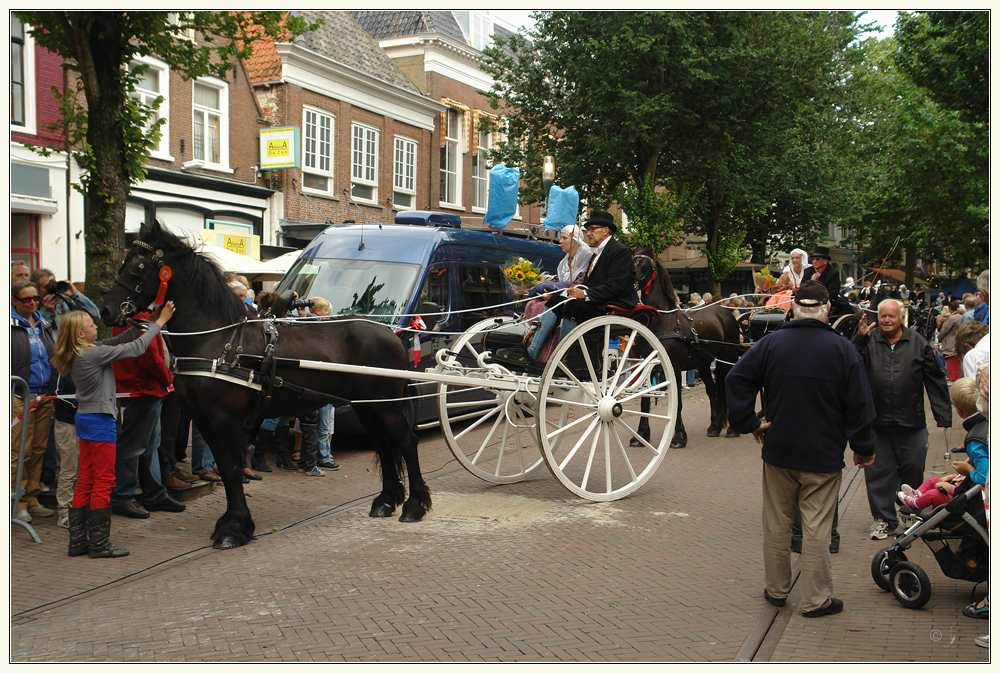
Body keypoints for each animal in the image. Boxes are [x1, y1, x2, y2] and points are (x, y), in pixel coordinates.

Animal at [101, 223, 430, 548]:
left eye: (138, 266)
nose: (106, 310)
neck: (218, 339)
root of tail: (388, 333)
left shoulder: (224, 418)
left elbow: (232, 467)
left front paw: (233, 528)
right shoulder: (203, 419)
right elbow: (225, 468)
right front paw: (234, 523)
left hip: (386, 405)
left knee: (405, 442)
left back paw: (414, 506)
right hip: (367, 406)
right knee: (385, 445)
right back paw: (386, 501)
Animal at [632, 247, 744, 446]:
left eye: (645, 263)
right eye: (632, 259)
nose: (631, 279)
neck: (662, 321)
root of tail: (724, 311)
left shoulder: (675, 367)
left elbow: (678, 401)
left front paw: (678, 436)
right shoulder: (646, 365)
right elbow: (645, 399)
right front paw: (641, 435)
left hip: (728, 357)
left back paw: (731, 429)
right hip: (704, 363)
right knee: (712, 390)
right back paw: (714, 426)